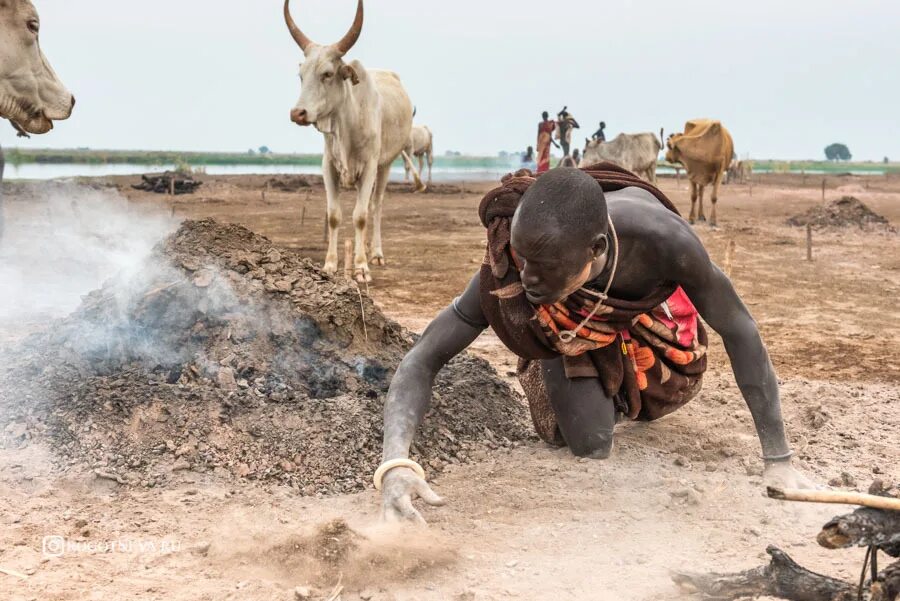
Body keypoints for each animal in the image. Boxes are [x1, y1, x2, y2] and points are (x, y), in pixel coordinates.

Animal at [286, 0, 424, 282]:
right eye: (301, 75)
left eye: (327, 73)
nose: (298, 113)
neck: (346, 125)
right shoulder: (328, 166)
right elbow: (333, 216)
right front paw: (329, 264)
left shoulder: (370, 166)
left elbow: (360, 216)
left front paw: (360, 267)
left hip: (385, 165)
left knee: (376, 206)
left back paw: (376, 253)